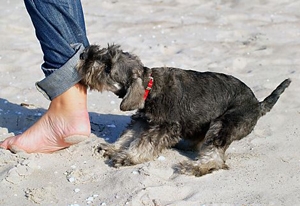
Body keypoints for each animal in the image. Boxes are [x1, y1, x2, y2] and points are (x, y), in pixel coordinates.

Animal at [77, 44, 290, 176]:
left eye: (107, 68)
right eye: (105, 52)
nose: (84, 55)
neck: (149, 85)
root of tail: (258, 104)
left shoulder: (165, 127)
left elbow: (143, 143)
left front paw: (128, 157)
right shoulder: (143, 120)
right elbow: (128, 135)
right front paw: (113, 147)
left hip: (222, 125)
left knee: (216, 156)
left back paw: (195, 167)